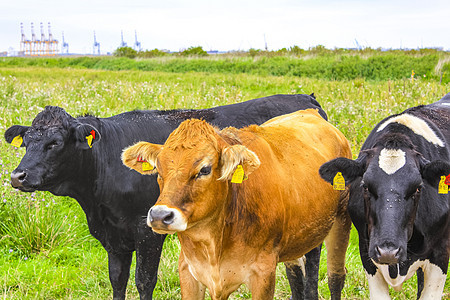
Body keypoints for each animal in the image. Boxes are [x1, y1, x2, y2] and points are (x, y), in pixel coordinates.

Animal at [5, 92, 326, 298]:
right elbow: (117, 280)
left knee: (311, 267)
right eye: (27, 142)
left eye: (55, 143)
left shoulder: (146, 231)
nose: (17, 176)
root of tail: (306, 101)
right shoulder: (113, 237)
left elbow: (144, 281)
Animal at [122, 109, 352, 298]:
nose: (160, 216)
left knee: (335, 278)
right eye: (158, 170)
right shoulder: (189, 270)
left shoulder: (263, 273)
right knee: (296, 275)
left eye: (204, 169)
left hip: (341, 220)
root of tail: (311, 112)